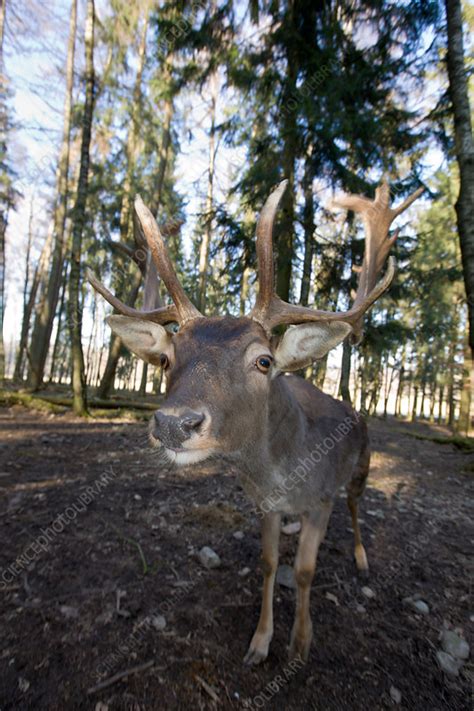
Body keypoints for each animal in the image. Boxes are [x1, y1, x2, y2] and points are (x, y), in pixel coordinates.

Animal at [88, 178, 422, 660]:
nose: (174, 423)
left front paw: (301, 641)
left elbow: (304, 571)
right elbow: (268, 563)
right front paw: (261, 642)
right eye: (167, 359)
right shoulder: (264, 504)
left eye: (264, 361)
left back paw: (361, 558)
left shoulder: (322, 498)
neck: (283, 473)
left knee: (356, 504)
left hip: (362, 466)